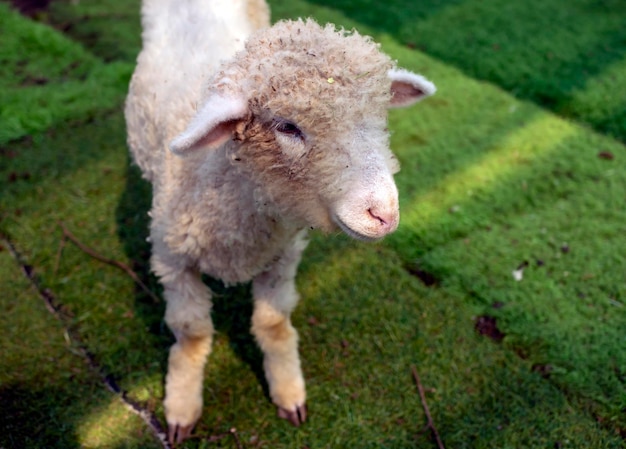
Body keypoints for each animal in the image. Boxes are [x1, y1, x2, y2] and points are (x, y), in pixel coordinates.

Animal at [123, 0, 434, 440]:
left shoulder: (282, 256)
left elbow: (272, 323)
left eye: (381, 117)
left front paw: (288, 390)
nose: (383, 213)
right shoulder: (173, 261)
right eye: (288, 126)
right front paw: (182, 404)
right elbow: (192, 332)